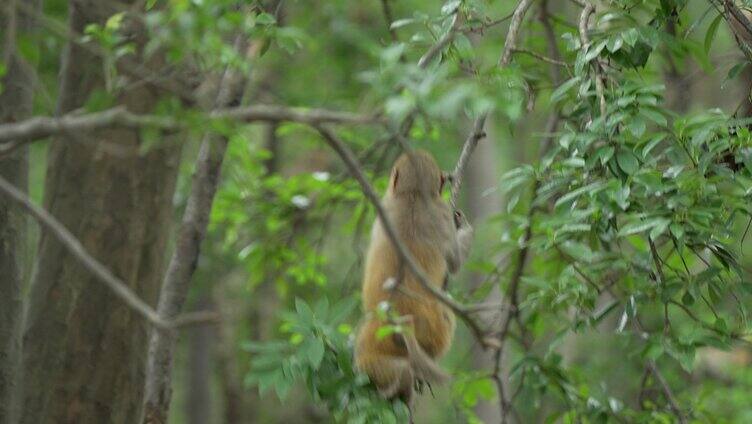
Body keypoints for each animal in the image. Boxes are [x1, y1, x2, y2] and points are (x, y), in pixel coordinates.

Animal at [356, 149, 472, 408]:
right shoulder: (440, 210)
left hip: (374, 342)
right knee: (447, 316)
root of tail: (400, 320)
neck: (413, 195)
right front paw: (464, 225)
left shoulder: (384, 208)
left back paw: (397, 387)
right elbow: (455, 263)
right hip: (434, 329)